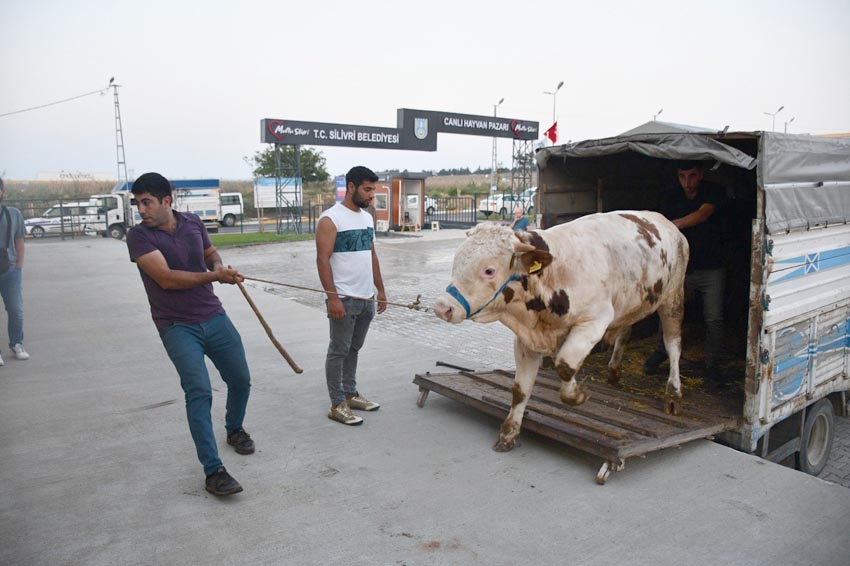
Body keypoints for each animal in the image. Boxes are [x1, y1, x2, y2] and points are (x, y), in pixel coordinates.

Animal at [434, 211, 684, 454]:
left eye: (489, 270)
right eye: (456, 261)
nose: (443, 307)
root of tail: (665, 222)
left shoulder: (594, 321)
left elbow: (564, 365)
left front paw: (577, 395)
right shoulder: (526, 339)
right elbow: (520, 389)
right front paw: (509, 433)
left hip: (673, 299)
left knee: (673, 343)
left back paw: (673, 393)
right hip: (628, 305)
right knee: (625, 332)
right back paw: (614, 372)